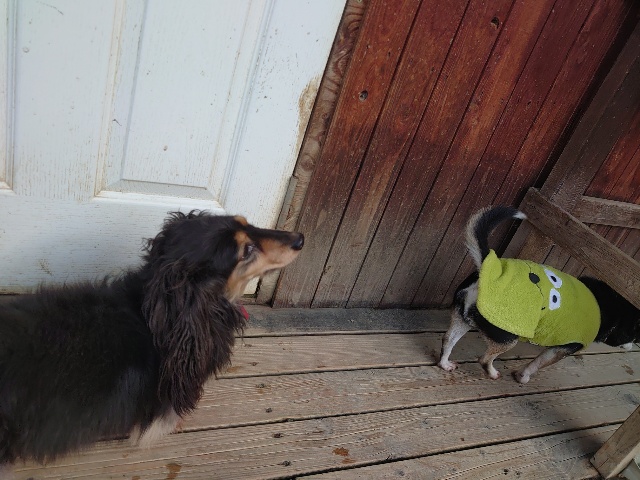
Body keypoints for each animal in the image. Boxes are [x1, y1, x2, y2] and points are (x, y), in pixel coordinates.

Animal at [438, 206, 639, 383]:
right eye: (635, 335)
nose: (632, 345)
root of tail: (490, 268)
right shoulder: (563, 348)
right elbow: (536, 364)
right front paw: (523, 377)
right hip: (508, 336)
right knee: (485, 359)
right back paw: (493, 373)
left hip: (462, 319)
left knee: (448, 340)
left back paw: (445, 364)